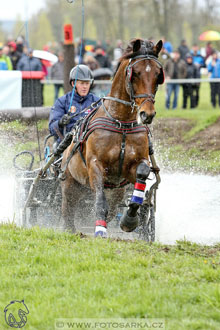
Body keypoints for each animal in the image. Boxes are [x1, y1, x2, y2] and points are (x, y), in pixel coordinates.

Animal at [59, 37, 163, 236]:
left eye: (157, 74)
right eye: (136, 73)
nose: (147, 114)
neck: (121, 123)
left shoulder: (134, 165)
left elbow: (142, 176)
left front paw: (130, 219)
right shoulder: (95, 165)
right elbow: (100, 202)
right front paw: (100, 230)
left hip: (114, 190)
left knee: (113, 207)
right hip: (70, 184)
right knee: (68, 209)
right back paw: (71, 230)